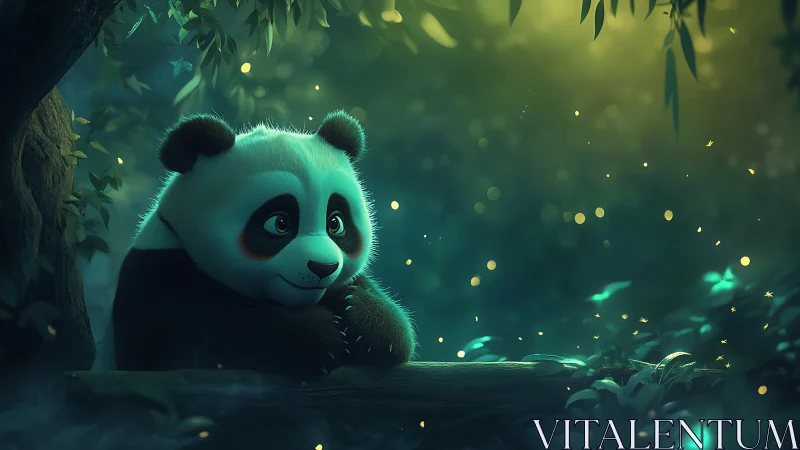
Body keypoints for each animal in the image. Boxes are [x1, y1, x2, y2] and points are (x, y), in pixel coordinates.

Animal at [93, 111, 416, 375]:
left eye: (335, 222)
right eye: (280, 223)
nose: (322, 267)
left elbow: (392, 326)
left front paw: (369, 326)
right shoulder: (155, 267)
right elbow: (183, 338)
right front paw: (317, 338)